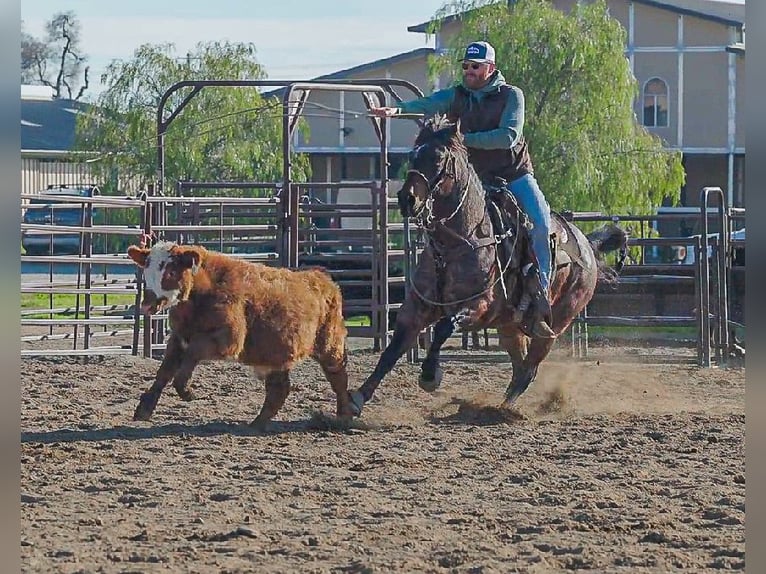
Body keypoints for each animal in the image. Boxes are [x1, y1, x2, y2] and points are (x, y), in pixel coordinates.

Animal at [348, 116, 628, 416]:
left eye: (438, 158)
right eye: (412, 155)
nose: (407, 199)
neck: (456, 244)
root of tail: (586, 245)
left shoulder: (479, 306)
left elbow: (444, 327)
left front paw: (430, 375)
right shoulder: (416, 307)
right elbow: (392, 350)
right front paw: (358, 397)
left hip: (557, 322)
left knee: (529, 368)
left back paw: (502, 410)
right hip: (509, 327)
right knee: (519, 365)